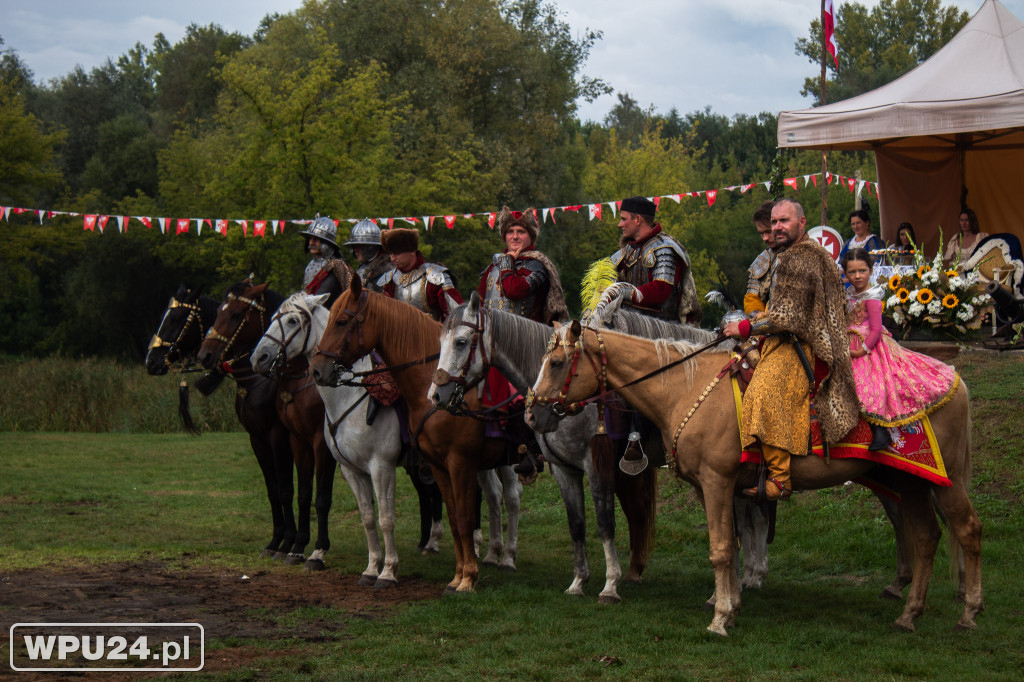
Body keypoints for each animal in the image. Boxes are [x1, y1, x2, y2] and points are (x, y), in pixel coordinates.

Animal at [146, 284, 301, 557]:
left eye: (176, 318)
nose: (150, 361)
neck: (259, 379)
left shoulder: (280, 437)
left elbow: (285, 490)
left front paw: (288, 542)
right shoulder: (257, 439)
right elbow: (272, 489)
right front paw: (275, 541)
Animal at [309, 276, 505, 589]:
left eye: (340, 322)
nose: (317, 371)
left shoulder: (382, 465)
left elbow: (386, 518)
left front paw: (388, 572)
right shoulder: (352, 469)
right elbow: (368, 517)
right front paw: (371, 568)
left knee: (505, 495)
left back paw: (501, 555)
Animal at [428, 292, 659, 602]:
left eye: (462, 342)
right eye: (441, 342)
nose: (435, 396)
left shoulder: (596, 466)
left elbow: (604, 522)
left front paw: (610, 585)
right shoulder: (563, 469)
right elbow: (576, 524)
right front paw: (578, 581)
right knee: (637, 510)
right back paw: (635, 571)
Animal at [528, 321, 983, 634]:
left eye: (557, 363)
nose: (533, 414)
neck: (684, 389)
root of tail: (955, 380)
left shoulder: (716, 482)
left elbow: (721, 549)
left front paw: (720, 617)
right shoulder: (714, 487)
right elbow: (730, 544)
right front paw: (728, 603)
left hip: (942, 481)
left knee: (967, 529)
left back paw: (968, 613)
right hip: (911, 481)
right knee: (926, 536)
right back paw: (909, 614)